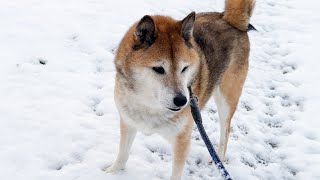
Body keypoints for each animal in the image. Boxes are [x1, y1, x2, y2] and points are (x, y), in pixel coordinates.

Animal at [106, 0, 256, 179]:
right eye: (159, 69)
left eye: (184, 68)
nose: (182, 101)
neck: (150, 105)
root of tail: (229, 20)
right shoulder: (128, 122)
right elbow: (122, 154)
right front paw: (111, 172)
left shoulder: (181, 140)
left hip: (227, 98)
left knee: (225, 132)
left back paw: (218, 160)